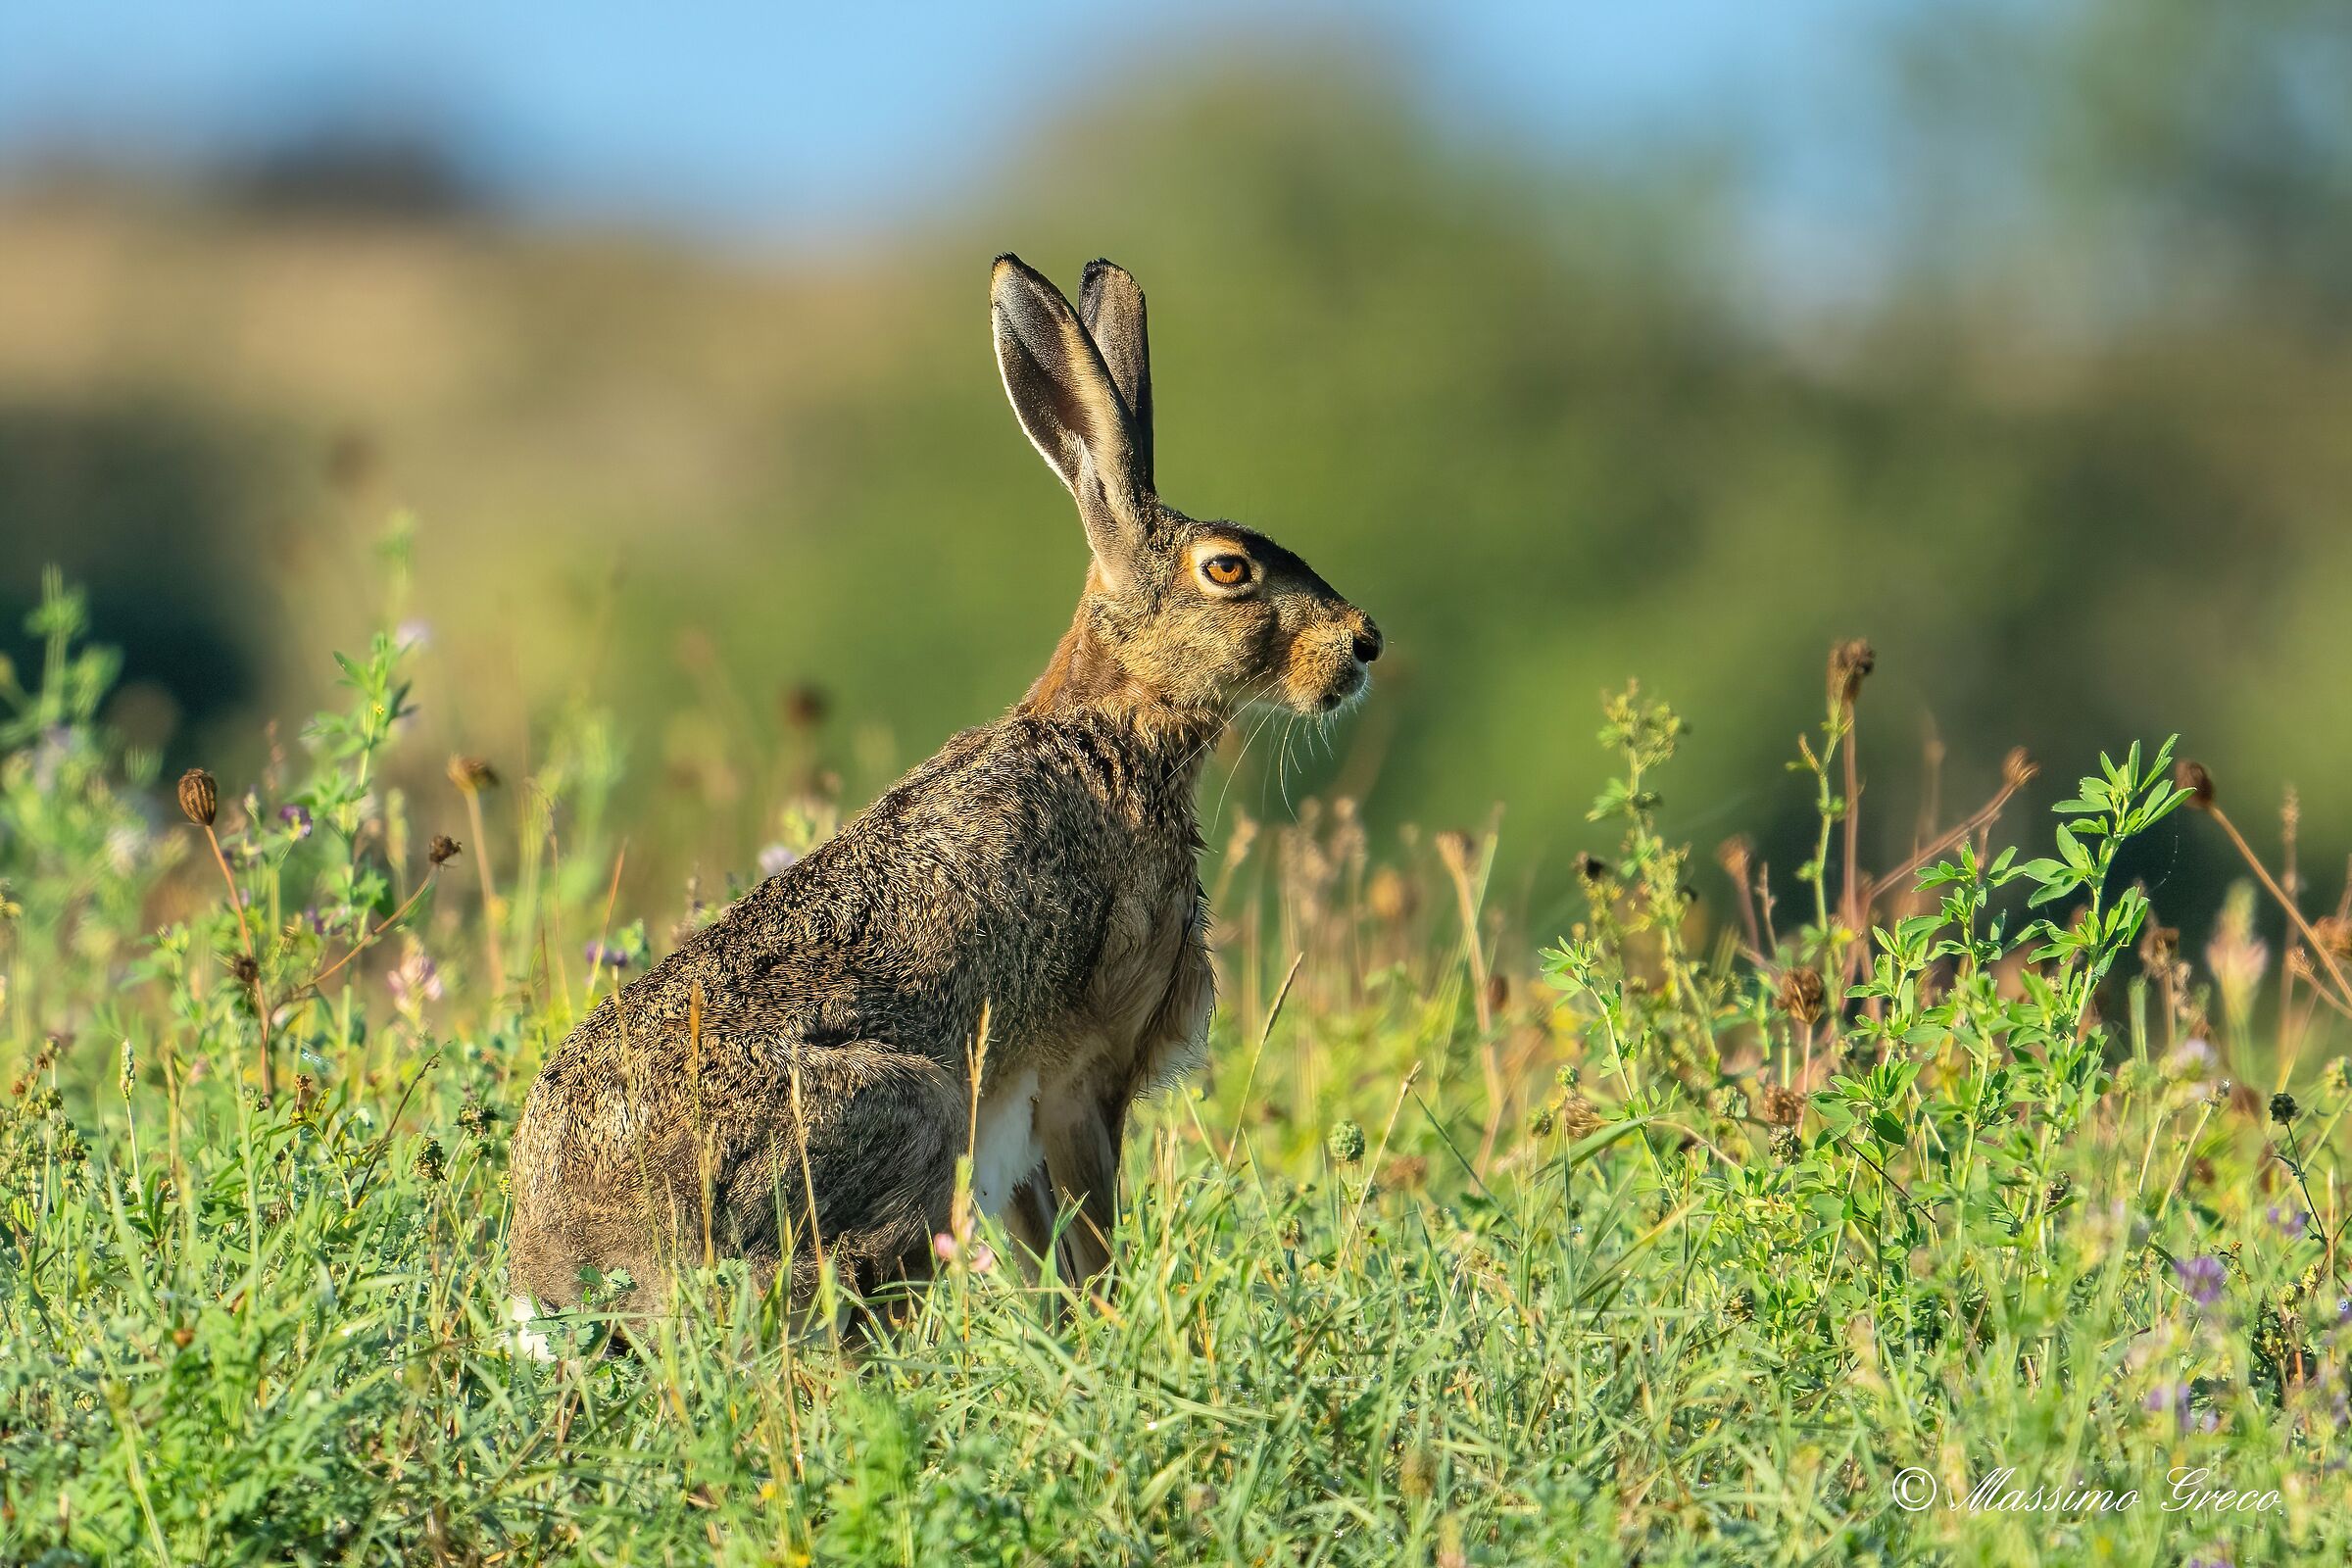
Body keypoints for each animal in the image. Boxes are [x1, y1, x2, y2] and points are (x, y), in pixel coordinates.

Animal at [508, 254, 1381, 1321]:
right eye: (1229, 570)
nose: (1363, 643)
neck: (1113, 727)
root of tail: (565, 1272)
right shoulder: (1078, 1077)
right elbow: (1091, 1241)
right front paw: (1106, 1331)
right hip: (908, 1116)